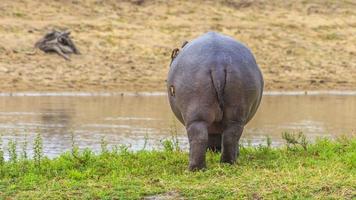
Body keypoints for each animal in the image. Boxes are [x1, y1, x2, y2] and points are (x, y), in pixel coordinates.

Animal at [168, 31, 264, 170]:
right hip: (235, 112)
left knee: (198, 137)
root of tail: (217, 64)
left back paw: (194, 169)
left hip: (196, 114)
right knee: (230, 135)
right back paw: (227, 163)